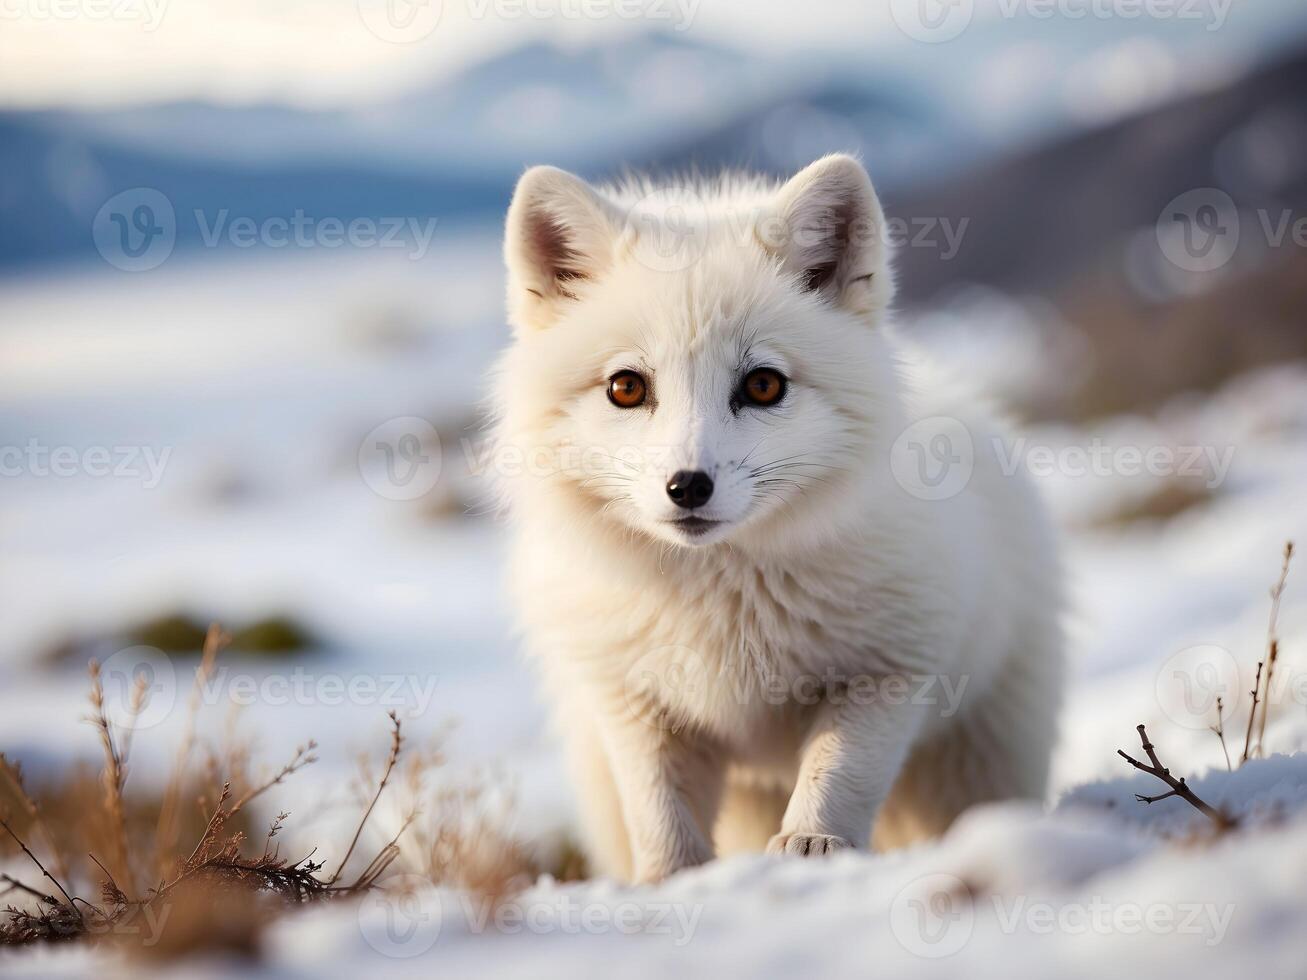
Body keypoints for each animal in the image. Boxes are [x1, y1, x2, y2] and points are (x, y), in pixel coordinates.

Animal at [491, 155, 1061, 888]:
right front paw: (668, 883)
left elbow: (836, 776)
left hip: (976, 762)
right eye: (626, 387)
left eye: (763, 385)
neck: (723, 604)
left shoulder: (888, 672)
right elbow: (661, 817)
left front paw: (814, 845)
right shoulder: (636, 707)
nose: (687, 486)